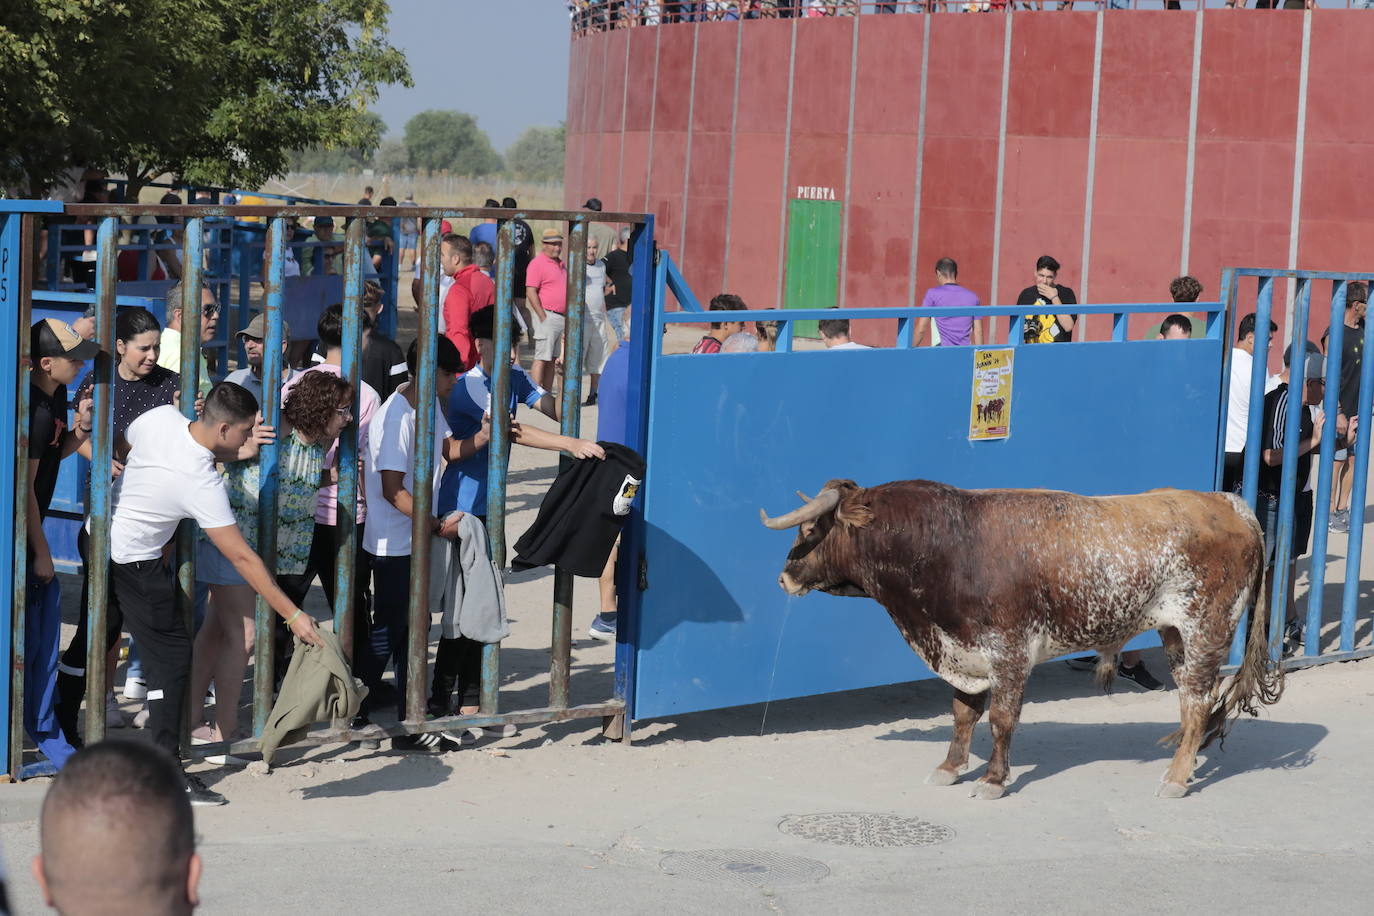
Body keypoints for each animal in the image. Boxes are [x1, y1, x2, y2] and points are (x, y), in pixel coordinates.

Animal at [763, 483, 1286, 796]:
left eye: (810, 528)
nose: (784, 577)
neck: (947, 544)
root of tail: (1232, 505)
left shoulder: (1009, 653)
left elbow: (1000, 719)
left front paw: (993, 779)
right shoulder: (965, 653)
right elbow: (962, 713)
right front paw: (950, 768)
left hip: (1205, 629)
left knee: (1198, 700)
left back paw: (1177, 778)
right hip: (1175, 634)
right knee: (1191, 701)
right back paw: (1184, 760)